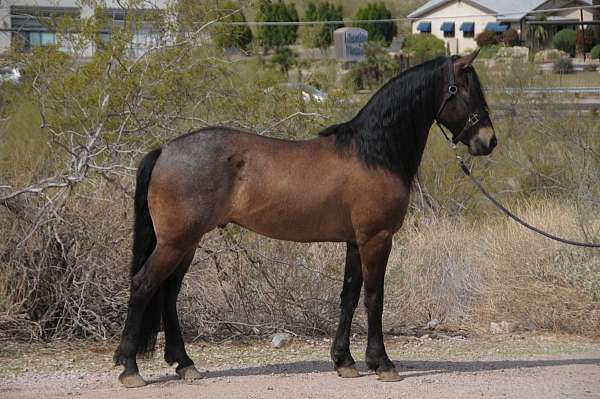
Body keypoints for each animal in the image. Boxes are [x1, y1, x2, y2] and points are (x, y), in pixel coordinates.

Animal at [112, 51, 496, 390]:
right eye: (464, 90)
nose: (489, 141)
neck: (373, 153)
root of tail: (165, 150)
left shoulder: (354, 241)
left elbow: (349, 296)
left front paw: (345, 361)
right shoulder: (377, 239)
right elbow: (374, 298)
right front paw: (382, 363)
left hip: (186, 243)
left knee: (169, 293)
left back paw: (184, 364)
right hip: (176, 242)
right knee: (144, 285)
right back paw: (130, 369)